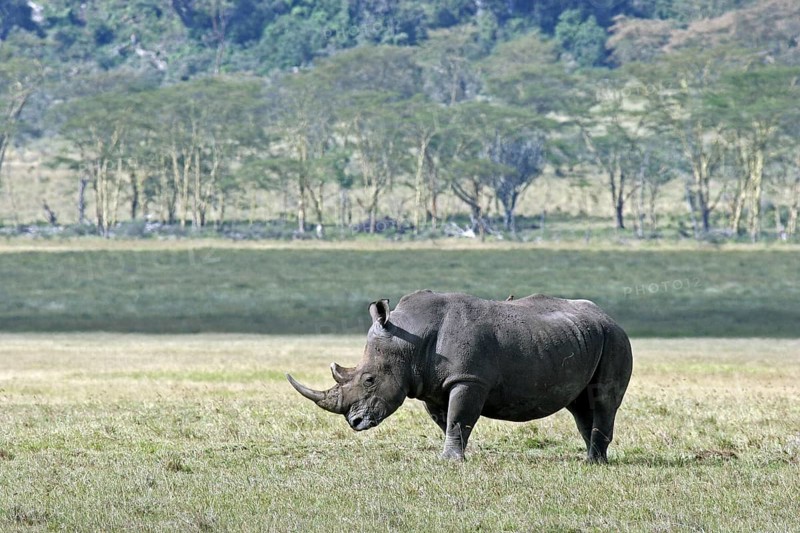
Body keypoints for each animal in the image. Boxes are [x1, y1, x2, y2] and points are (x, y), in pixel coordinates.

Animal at [286, 290, 633, 462]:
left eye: (369, 380)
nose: (355, 423)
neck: (409, 338)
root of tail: (609, 317)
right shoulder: (431, 385)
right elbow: (449, 421)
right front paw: (457, 454)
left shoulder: (469, 379)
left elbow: (457, 418)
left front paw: (450, 460)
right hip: (586, 336)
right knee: (580, 406)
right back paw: (592, 459)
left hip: (615, 339)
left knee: (603, 399)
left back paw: (593, 462)